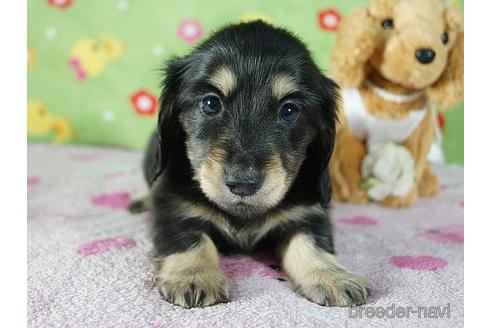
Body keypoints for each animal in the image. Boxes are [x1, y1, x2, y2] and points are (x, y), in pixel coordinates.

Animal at [131, 21, 368, 308]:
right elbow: (188, 238)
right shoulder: (173, 206)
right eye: (210, 103)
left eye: (289, 110)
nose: (243, 184)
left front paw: (332, 275)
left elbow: (312, 243)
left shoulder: (308, 213)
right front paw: (194, 275)